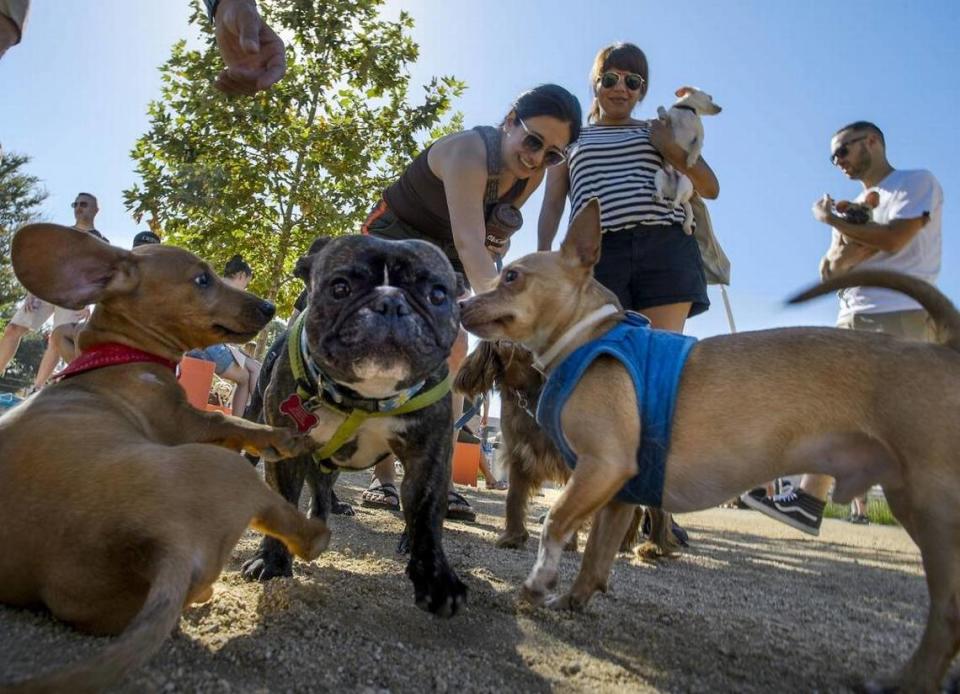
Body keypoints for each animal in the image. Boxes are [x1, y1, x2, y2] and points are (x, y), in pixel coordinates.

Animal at [0, 226, 330, 692]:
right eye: (203, 279)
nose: (269, 307)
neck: (121, 355)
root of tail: (164, 544)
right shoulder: (190, 423)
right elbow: (236, 423)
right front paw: (285, 438)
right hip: (228, 471)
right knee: (286, 521)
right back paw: (316, 534)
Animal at [456, 200, 960, 692]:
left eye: (511, 277)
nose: (460, 301)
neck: (590, 336)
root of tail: (943, 349)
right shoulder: (617, 491)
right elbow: (596, 556)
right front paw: (571, 601)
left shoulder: (600, 467)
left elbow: (556, 521)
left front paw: (538, 583)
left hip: (932, 510)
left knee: (948, 611)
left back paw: (911, 679)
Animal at [652, 86, 720, 234]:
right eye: (710, 97)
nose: (721, 108)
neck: (687, 109)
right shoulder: (668, 122)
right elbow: (662, 110)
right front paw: (661, 114)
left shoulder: (700, 135)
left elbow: (697, 146)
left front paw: (691, 160)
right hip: (660, 174)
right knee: (660, 190)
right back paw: (658, 196)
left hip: (684, 182)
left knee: (677, 200)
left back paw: (672, 202)